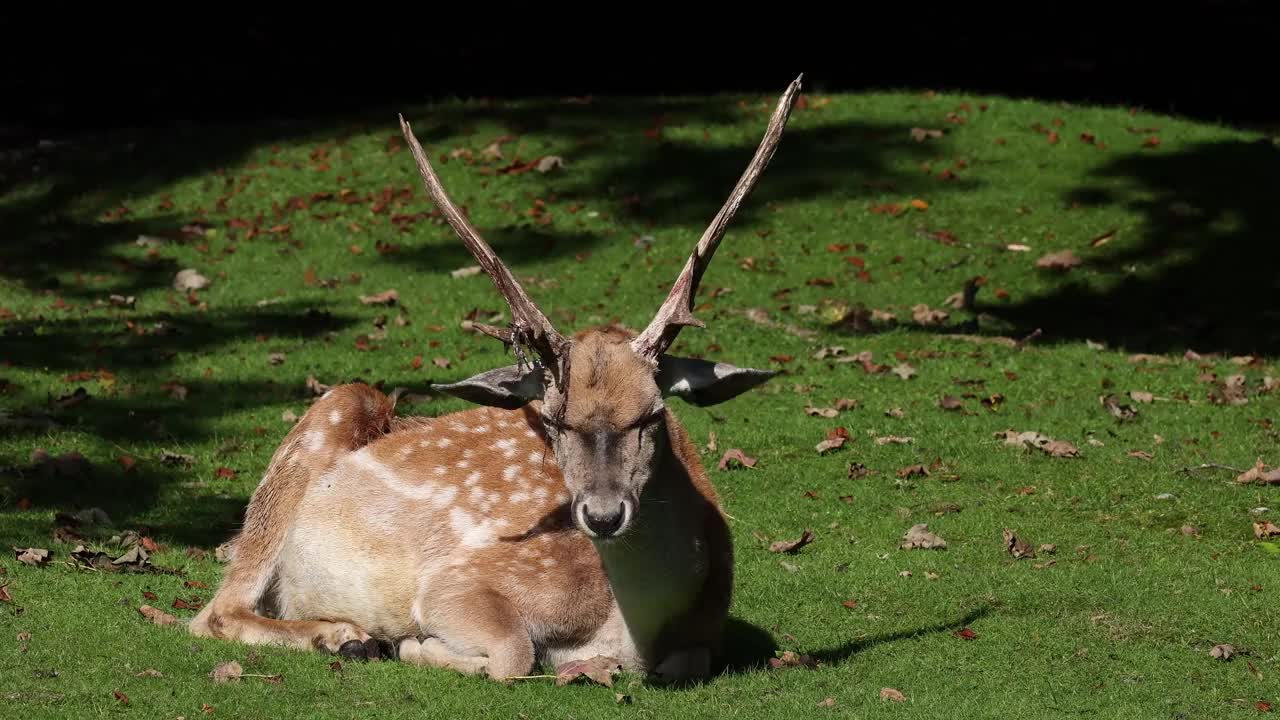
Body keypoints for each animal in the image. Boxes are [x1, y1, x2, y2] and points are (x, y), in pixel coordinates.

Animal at [188, 74, 798, 681]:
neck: (630, 634)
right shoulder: (457, 580)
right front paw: (413, 646)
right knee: (213, 613)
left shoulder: (707, 636)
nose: (602, 515)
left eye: (651, 414)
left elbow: (689, 662)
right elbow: (512, 652)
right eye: (555, 421)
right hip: (323, 422)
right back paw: (343, 635)